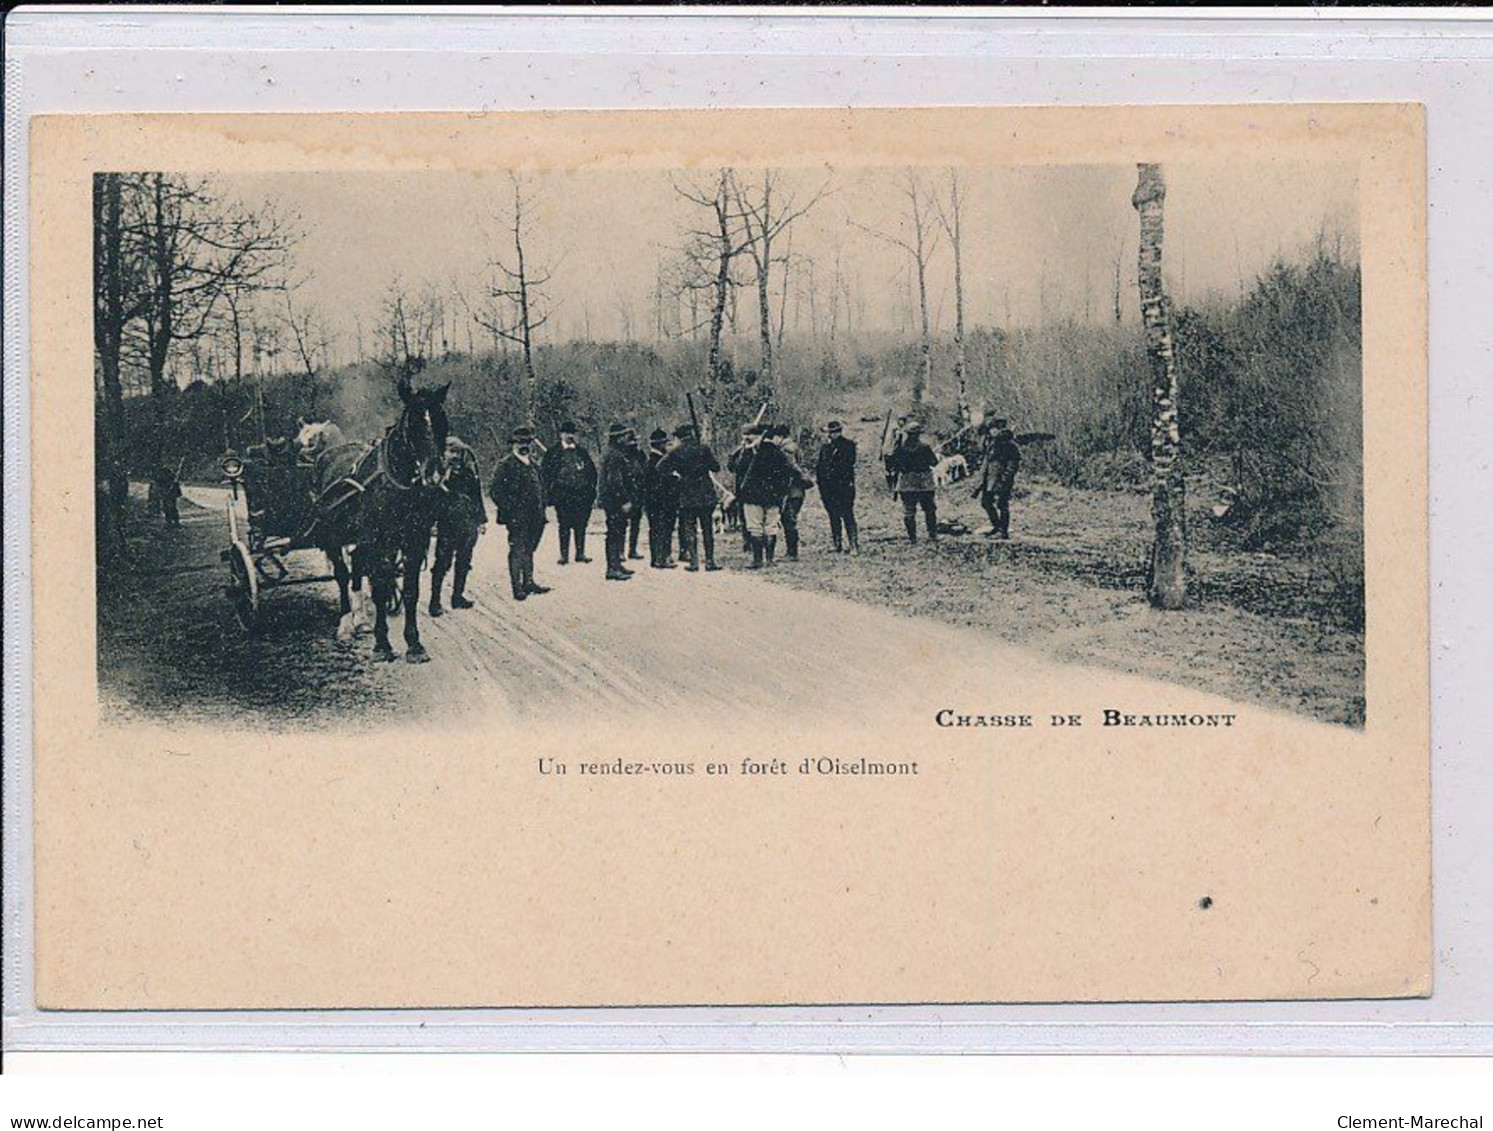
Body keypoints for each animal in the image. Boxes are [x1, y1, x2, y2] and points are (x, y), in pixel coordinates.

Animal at [310, 380, 450, 665]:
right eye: (413, 425)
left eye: (443, 422)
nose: (435, 472)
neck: (395, 483)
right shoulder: (377, 542)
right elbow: (381, 586)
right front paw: (382, 644)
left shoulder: (414, 541)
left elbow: (409, 590)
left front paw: (414, 644)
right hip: (334, 536)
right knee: (343, 575)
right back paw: (346, 623)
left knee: (356, 569)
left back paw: (361, 619)